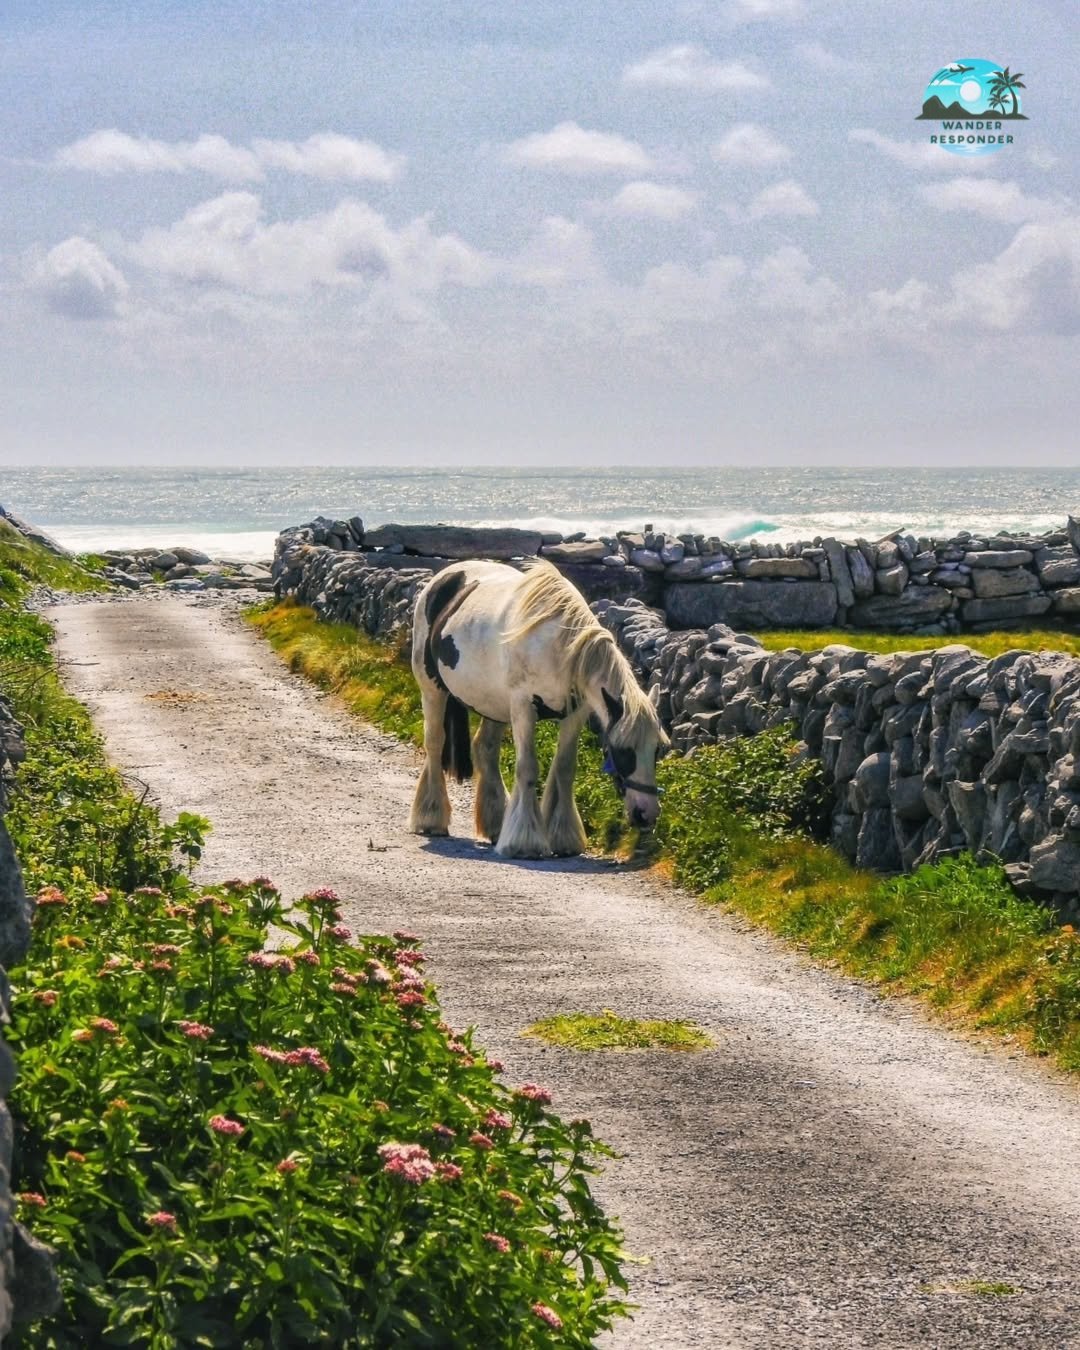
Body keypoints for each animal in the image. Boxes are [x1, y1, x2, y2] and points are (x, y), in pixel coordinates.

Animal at [408, 559, 667, 858]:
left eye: (657, 749)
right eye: (623, 750)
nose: (646, 813)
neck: (558, 648)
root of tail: (445, 577)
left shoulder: (575, 714)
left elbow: (564, 768)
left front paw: (563, 837)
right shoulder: (523, 707)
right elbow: (528, 767)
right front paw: (525, 841)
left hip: (493, 705)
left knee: (485, 749)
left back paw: (495, 823)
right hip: (432, 690)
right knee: (434, 743)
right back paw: (431, 817)